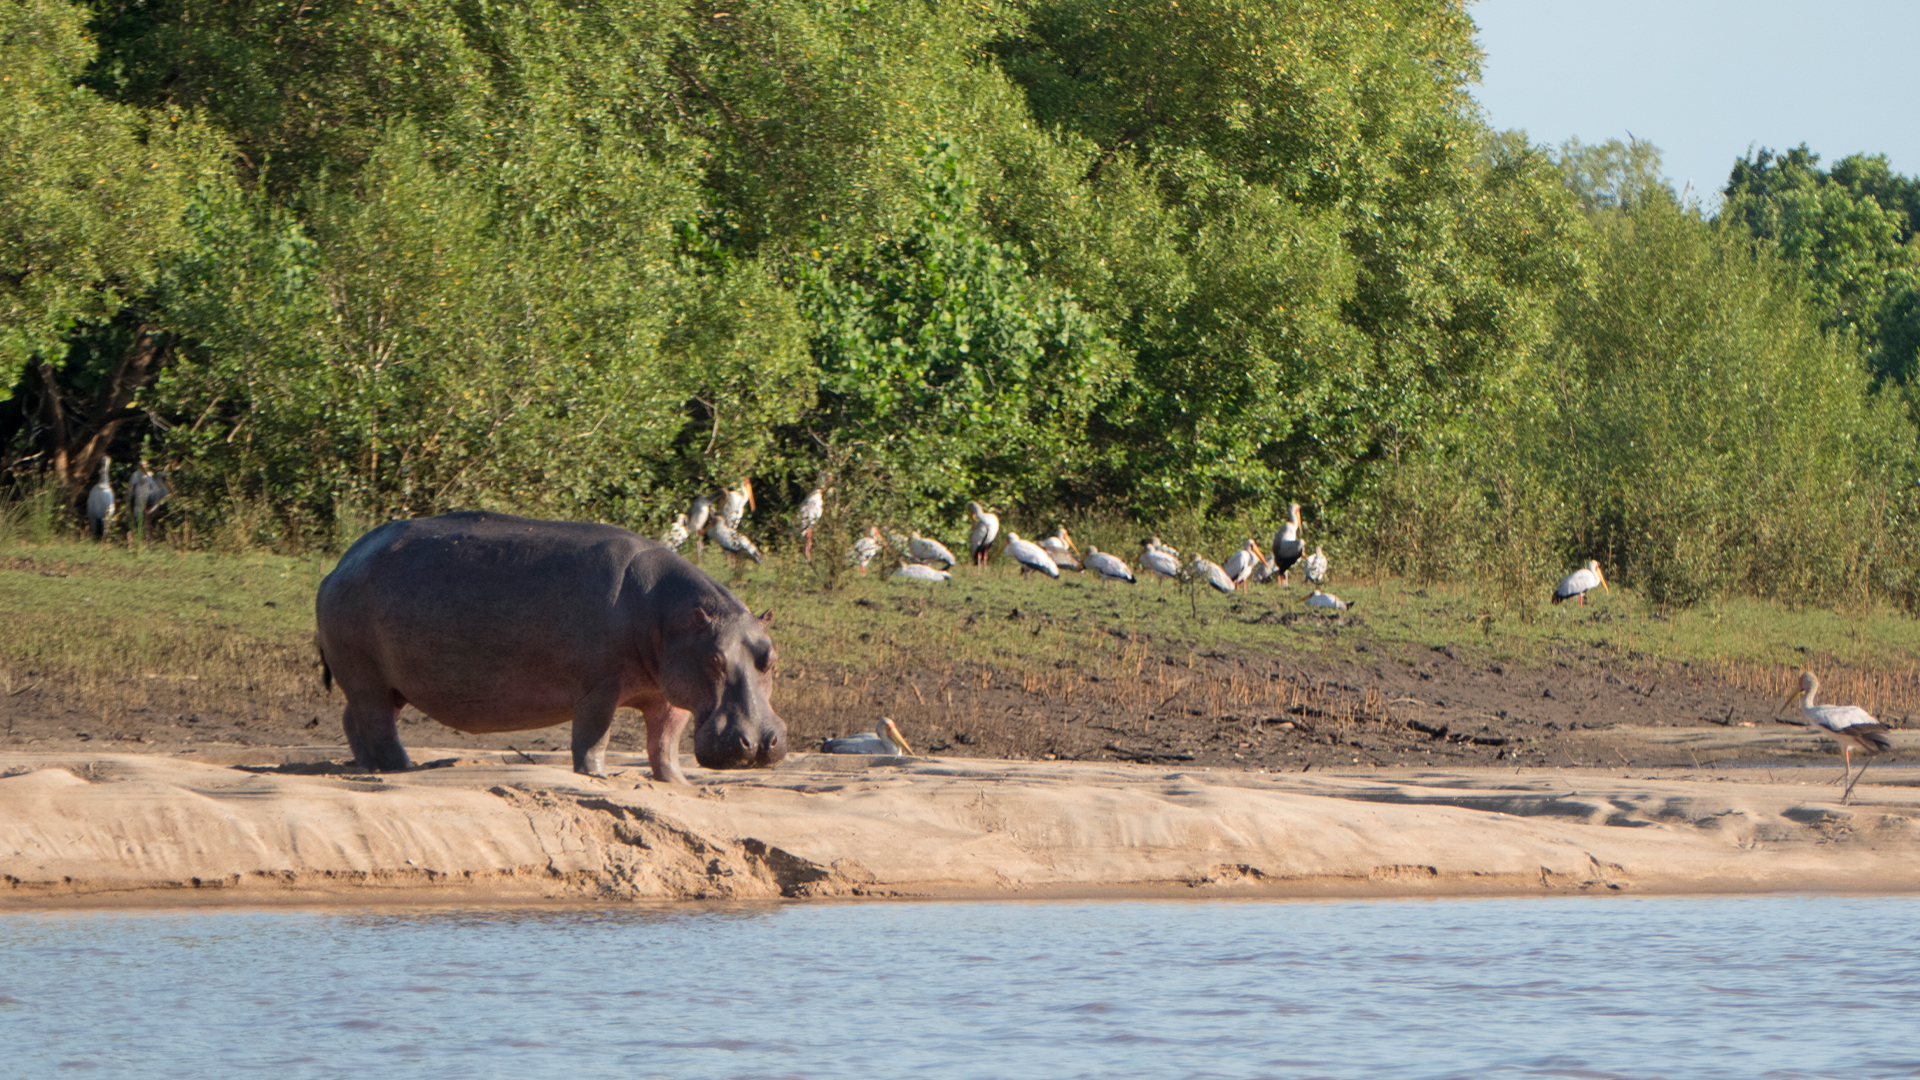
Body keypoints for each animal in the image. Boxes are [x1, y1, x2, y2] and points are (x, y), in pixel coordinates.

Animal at [318, 507, 783, 776]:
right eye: (716, 660)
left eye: (771, 659)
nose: (760, 743)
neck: (672, 614)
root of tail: (343, 562)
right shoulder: (600, 686)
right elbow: (594, 735)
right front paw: (595, 777)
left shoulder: (669, 693)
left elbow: (664, 742)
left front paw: (676, 781)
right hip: (367, 677)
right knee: (379, 725)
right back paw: (402, 770)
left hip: (385, 682)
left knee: (352, 718)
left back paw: (365, 769)